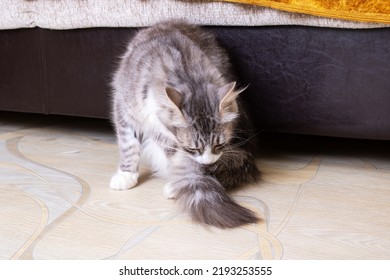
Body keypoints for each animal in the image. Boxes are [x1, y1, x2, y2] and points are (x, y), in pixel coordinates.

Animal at [111, 21, 260, 228]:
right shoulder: (125, 109)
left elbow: (179, 161)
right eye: (193, 148)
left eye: (219, 145)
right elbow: (129, 146)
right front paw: (127, 175)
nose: (208, 162)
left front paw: (183, 182)